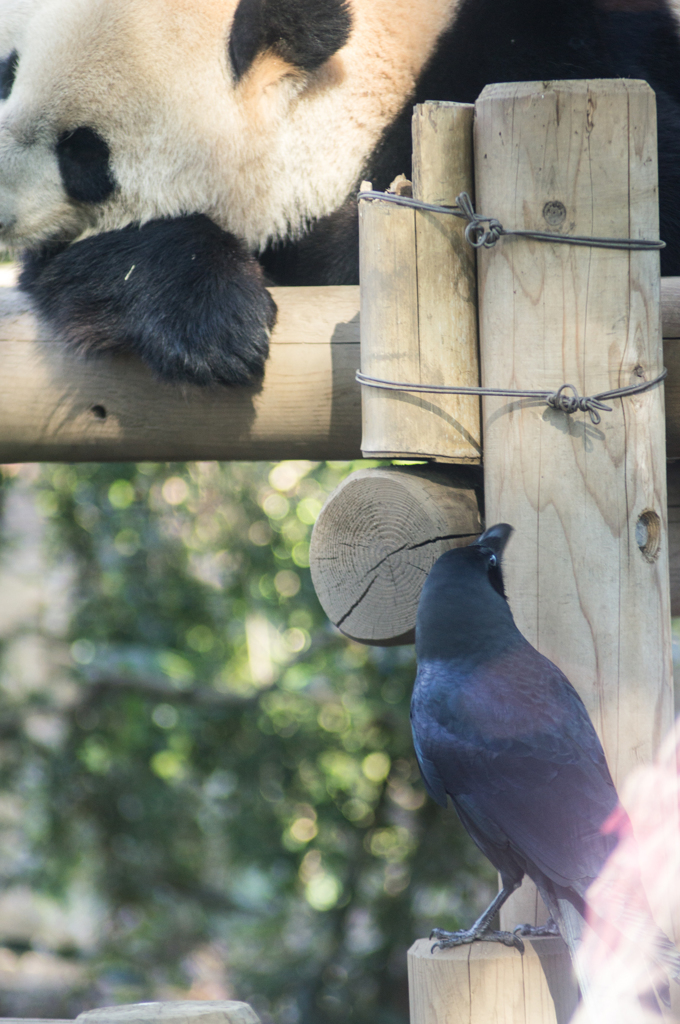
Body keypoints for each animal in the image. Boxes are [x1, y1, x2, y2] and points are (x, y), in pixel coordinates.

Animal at [0, 0, 680, 385]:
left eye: (84, 152)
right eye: (7, 73)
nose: (2, 210)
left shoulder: (558, 54)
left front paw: (214, 324)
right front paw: (215, 319)